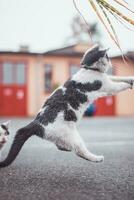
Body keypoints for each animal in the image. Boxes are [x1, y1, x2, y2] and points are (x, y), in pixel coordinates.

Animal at [0, 44, 134, 168]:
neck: (89, 69)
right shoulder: (107, 86)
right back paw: (97, 158)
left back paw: (68, 149)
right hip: (72, 136)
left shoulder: (107, 79)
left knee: (62, 146)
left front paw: (131, 79)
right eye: (107, 57)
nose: (111, 63)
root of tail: (36, 123)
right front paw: (129, 84)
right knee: (80, 151)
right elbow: (119, 85)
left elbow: (117, 77)